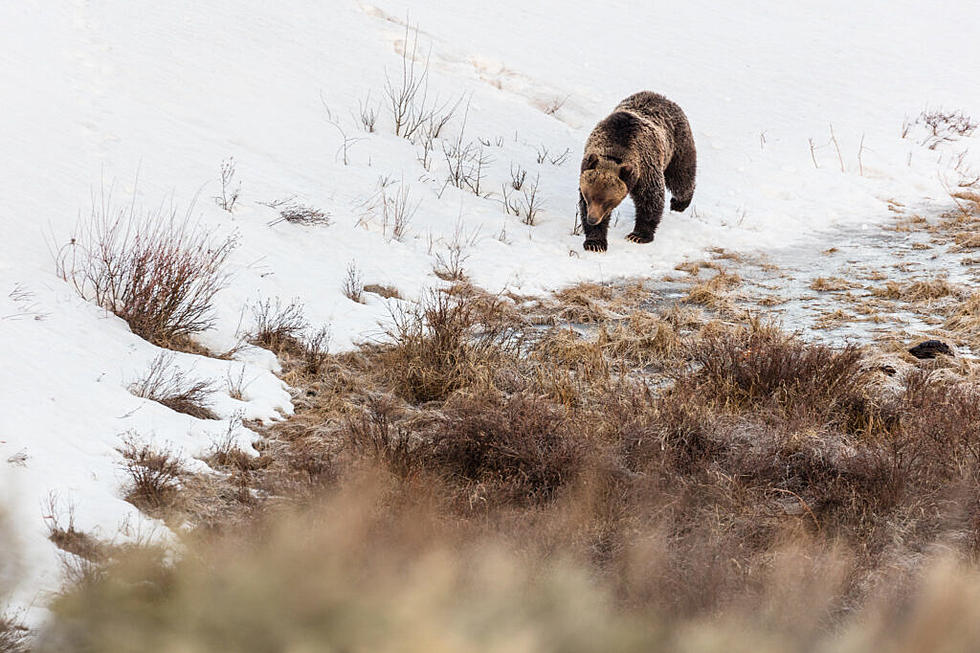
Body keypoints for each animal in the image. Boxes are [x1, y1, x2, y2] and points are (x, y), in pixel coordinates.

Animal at [580, 93, 692, 251]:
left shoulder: (645, 169)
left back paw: (679, 203)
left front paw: (638, 235)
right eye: (589, 197)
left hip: (677, 146)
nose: (593, 219)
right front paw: (595, 242)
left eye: (607, 201)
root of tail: (662, 97)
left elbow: (650, 199)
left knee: (682, 177)